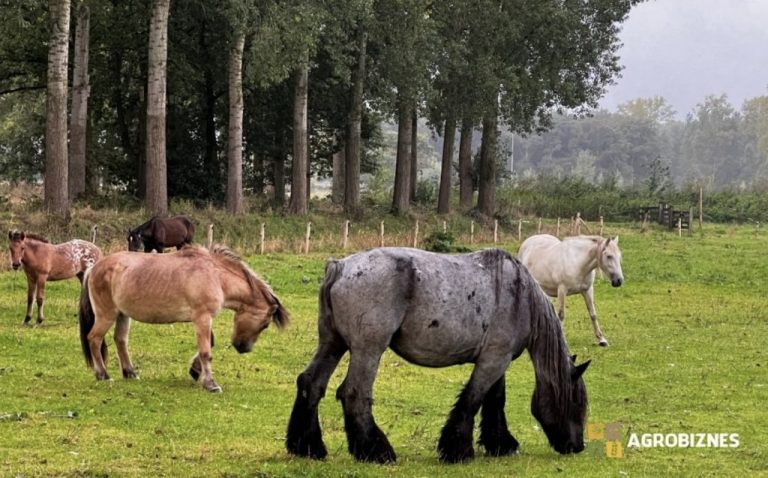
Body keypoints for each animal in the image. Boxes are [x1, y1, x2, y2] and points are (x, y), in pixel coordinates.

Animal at [78, 246, 288, 392]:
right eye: (265, 325)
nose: (243, 348)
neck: (216, 276)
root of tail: (93, 269)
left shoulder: (203, 319)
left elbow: (209, 344)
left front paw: (195, 371)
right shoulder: (203, 318)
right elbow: (206, 351)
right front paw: (211, 384)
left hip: (123, 315)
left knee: (120, 340)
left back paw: (130, 373)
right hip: (107, 315)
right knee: (94, 339)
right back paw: (103, 375)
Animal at [284, 250, 592, 464]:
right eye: (577, 403)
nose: (577, 446)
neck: (521, 297)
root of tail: (340, 267)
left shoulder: (496, 359)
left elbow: (494, 401)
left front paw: (500, 444)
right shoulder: (494, 360)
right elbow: (472, 400)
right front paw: (458, 450)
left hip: (332, 344)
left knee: (311, 384)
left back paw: (308, 447)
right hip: (367, 350)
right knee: (354, 393)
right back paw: (377, 451)